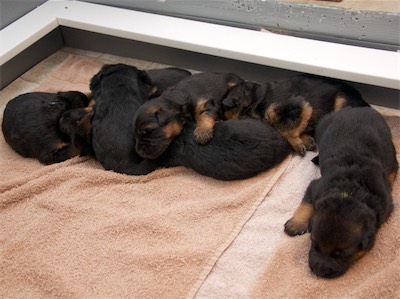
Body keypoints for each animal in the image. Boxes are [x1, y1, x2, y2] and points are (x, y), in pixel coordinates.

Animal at [222, 74, 368, 156]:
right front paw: (306, 141)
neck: (257, 99)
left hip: (341, 102)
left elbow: (286, 129)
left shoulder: (300, 106)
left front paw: (298, 145)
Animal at [284, 108, 396, 278]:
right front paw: (295, 225)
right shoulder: (315, 186)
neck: (348, 194)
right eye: (314, 244)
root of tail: (356, 109)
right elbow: (306, 204)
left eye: (340, 254)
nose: (319, 272)